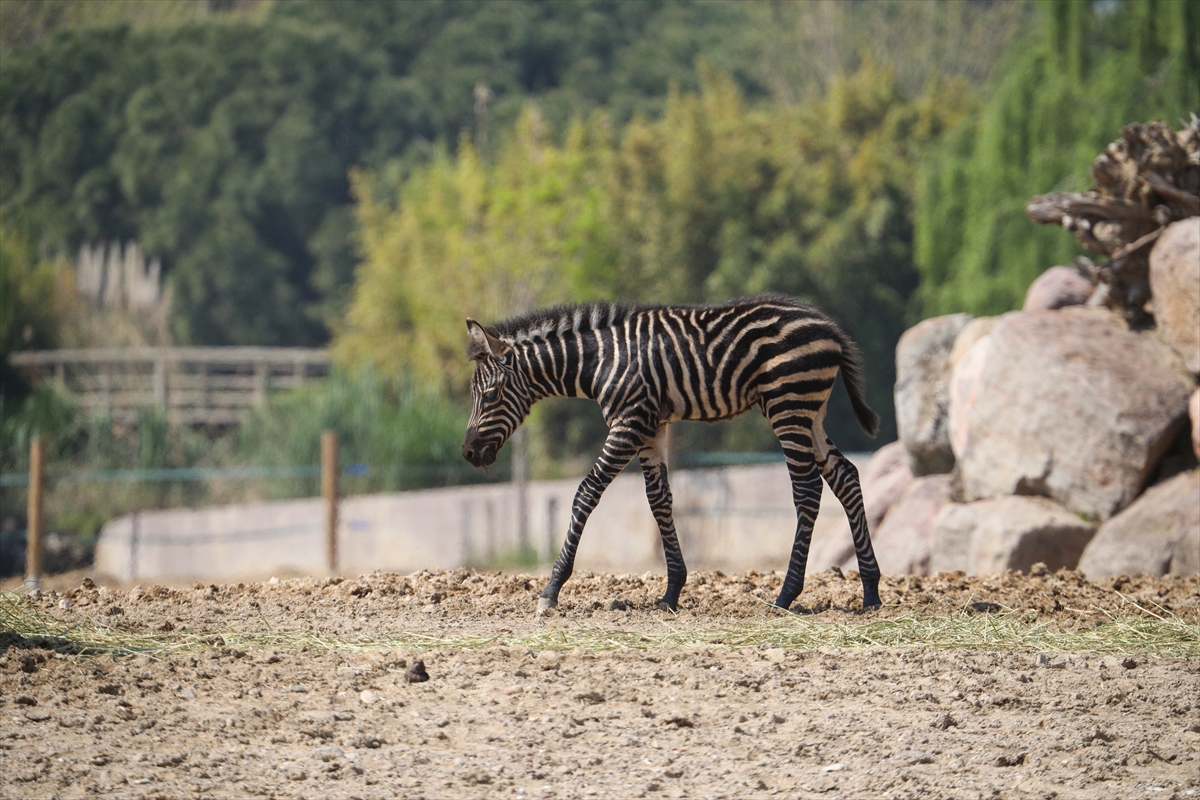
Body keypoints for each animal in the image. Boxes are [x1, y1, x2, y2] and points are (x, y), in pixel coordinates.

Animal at [458, 297, 883, 618]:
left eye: (491, 395)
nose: (468, 453)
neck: (600, 361)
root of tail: (828, 325)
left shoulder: (629, 422)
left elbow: (586, 493)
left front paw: (550, 590)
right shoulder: (651, 427)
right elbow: (659, 500)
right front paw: (672, 591)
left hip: (788, 405)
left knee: (808, 489)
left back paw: (786, 596)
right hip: (811, 412)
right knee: (846, 476)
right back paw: (871, 591)